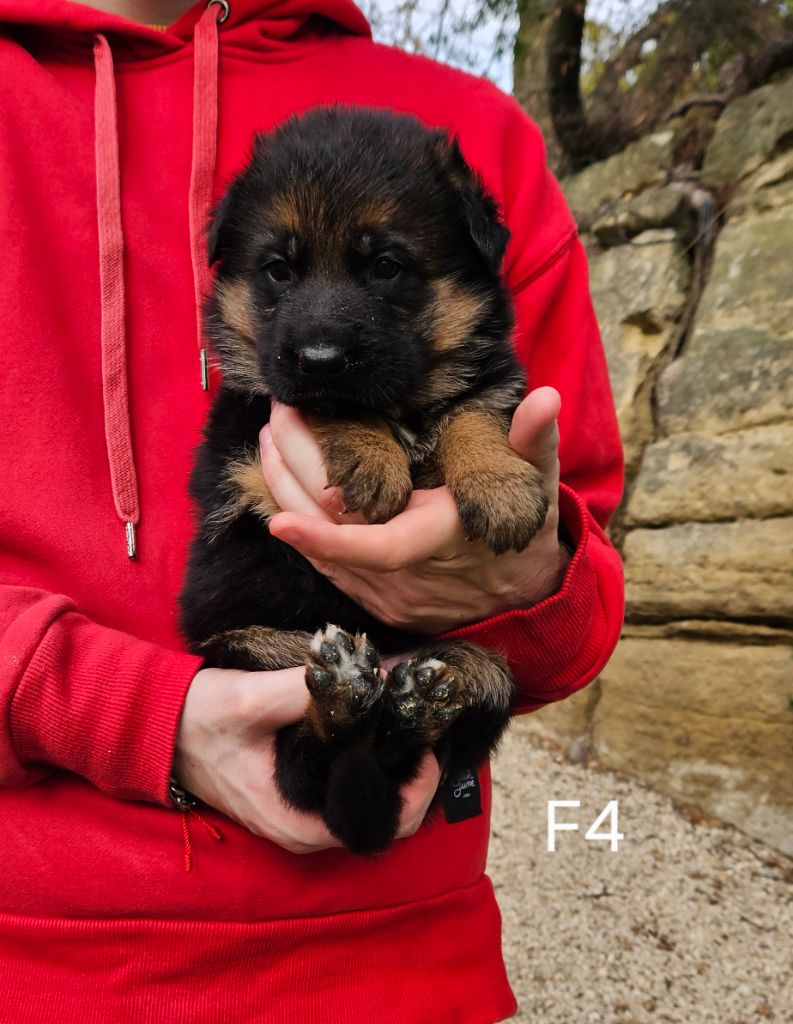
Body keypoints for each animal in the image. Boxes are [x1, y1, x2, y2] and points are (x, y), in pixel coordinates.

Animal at [180, 105, 549, 856]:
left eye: (385, 267)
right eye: (277, 270)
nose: (321, 356)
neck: (401, 407)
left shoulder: (485, 378)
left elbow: (473, 409)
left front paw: (499, 483)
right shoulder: (254, 435)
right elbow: (328, 405)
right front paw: (370, 456)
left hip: (490, 671)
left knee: (404, 736)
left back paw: (412, 703)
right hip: (253, 647)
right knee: (305, 762)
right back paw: (346, 697)